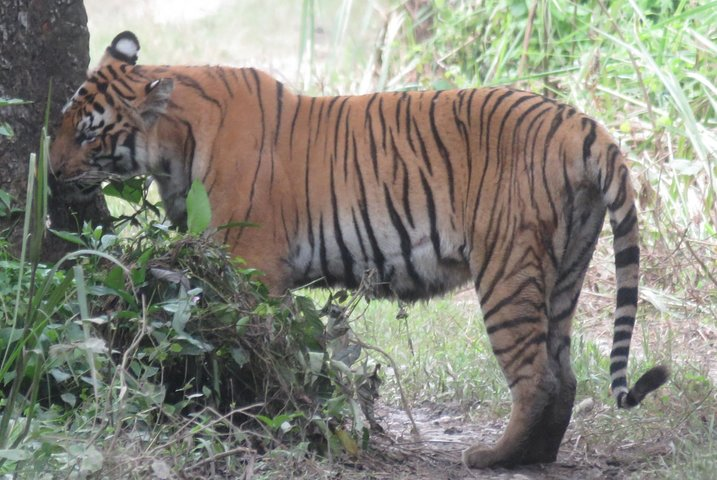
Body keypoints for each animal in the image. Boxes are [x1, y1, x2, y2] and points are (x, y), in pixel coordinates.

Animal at [49, 31, 664, 468]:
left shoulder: (251, 263)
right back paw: (537, 456)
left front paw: (273, 415)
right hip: (565, 268)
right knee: (565, 373)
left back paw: (494, 458)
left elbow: (261, 346)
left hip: (507, 267)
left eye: (88, 133)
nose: (50, 172)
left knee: (537, 376)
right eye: (62, 122)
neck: (170, 146)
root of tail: (578, 122)